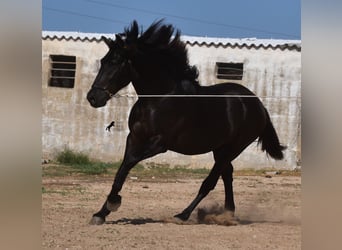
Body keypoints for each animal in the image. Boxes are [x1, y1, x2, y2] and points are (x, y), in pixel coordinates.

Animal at [86, 20, 286, 226]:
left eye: (116, 63)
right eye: (103, 61)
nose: (93, 98)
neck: (158, 99)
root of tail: (259, 105)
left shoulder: (159, 144)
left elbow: (129, 163)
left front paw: (113, 203)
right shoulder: (134, 138)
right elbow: (121, 170)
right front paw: (101, 213)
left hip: (235, 146)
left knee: (211, 181)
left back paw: (183, 215)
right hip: (220, 148)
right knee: (227, 175)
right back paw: (227, 214)